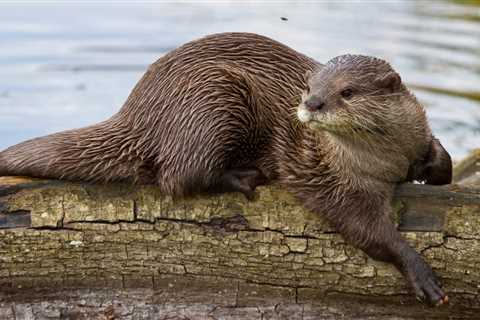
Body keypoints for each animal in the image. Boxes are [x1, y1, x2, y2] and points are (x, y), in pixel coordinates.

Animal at [0, 32, 452, 304]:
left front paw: (434, 168)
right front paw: (418, 269)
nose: (312, 103)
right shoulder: (332, 180)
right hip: (213, 99)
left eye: (348, 91)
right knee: (177, 177)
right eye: (309, 87)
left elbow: (437, 154)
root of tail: (139, 111)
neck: (384, 158)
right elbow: (366, 228)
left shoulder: (412, 135)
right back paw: (244, 176)